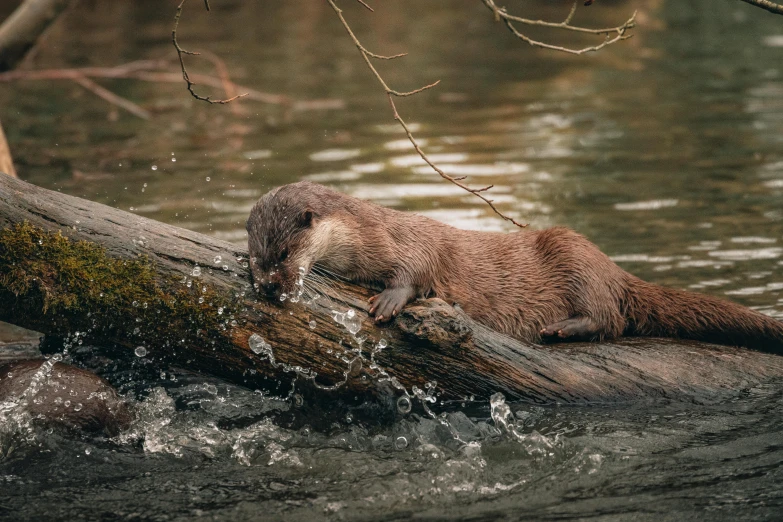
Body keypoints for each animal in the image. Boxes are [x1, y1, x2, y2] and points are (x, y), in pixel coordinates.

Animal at [248, 180, 783, 354]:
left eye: (284, 255)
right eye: (256, 259)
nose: (269, 287)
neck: (367, 235)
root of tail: (612, 269)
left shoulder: (409, 241)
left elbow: (417, 271)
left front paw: (389, 300)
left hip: (574, 255)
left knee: (609, 317)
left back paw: (561, 329)